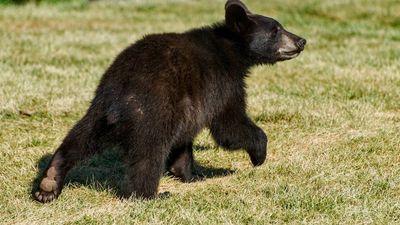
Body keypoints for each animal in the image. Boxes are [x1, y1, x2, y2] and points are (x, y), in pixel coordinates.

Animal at [33, 0, 306, 202]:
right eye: (276, 30)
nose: (301, 40)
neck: (231, 52)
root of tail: (117, 99)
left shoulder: (191, 103)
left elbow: (185, 140)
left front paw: (190, 174)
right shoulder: (222, 84)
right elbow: (229, 124)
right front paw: (259, 154)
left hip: (98, 110)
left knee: (79, 138)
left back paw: (49, 182)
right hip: (152, 111)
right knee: (149, 155)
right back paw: (150, 194)